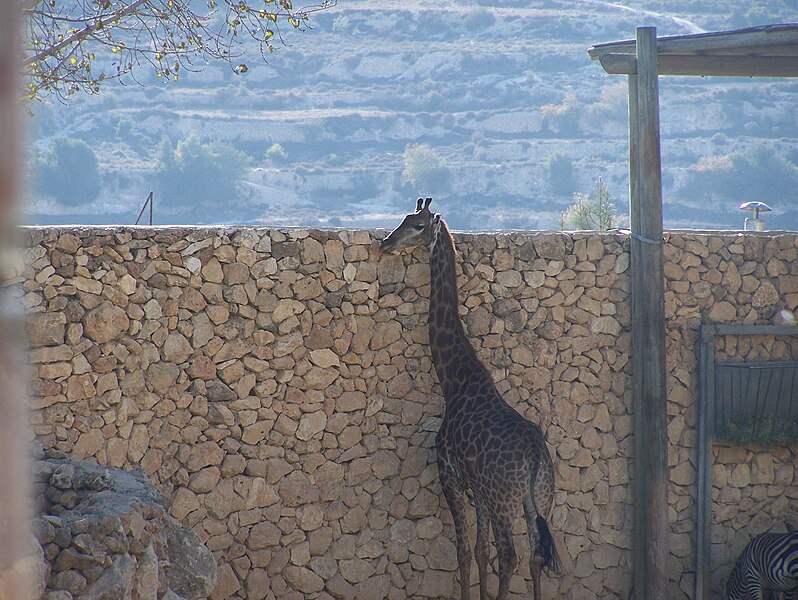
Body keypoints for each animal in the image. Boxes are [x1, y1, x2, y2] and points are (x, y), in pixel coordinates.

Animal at [382, 198, 564, 600]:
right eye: (404, 218)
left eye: (417, 225)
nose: (385, 243)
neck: (454, 380)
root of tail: (534, 459)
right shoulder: (478, 490)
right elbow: (480, 552)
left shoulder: (449, 475)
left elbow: (465, 551)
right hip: (538, 500)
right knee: (534, 557)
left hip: (504, 499)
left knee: (510, 556)